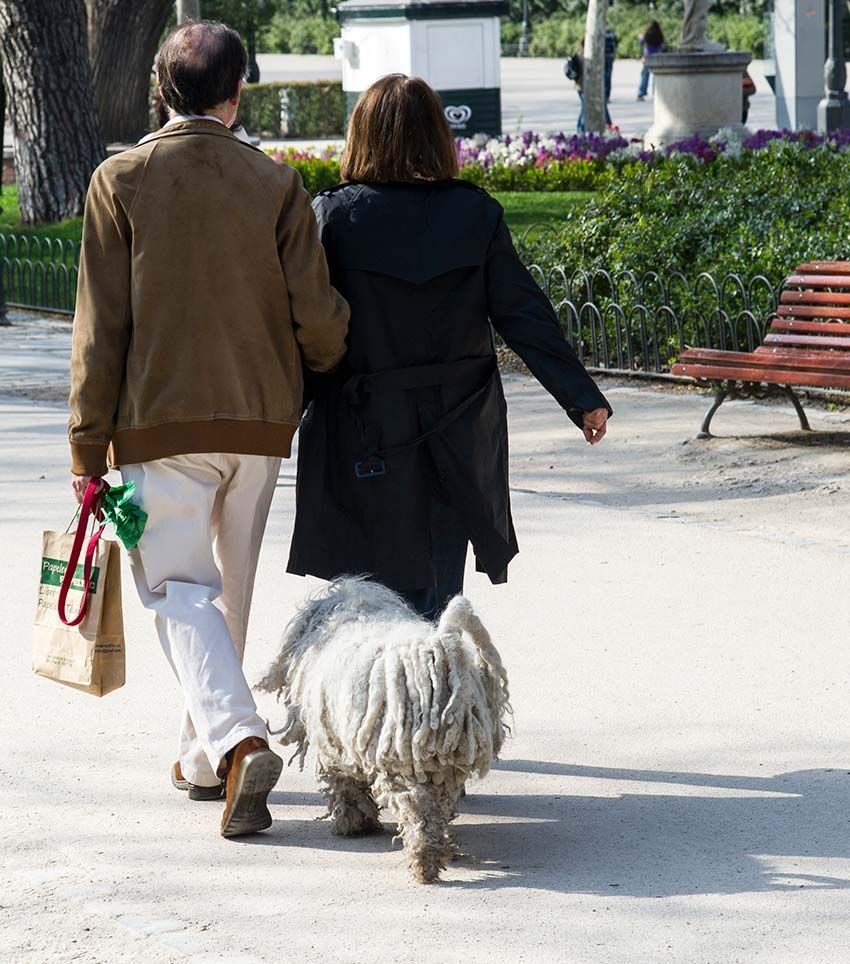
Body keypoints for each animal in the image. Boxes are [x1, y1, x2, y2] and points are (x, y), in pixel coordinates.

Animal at [258, 576, 506, 884]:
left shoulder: (334, 745)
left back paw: (423, 861)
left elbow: (344, 783)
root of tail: (441, 651)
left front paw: (352, 822)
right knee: (438, 805)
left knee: (416, 810)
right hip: (446, 760)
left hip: (402, 756)